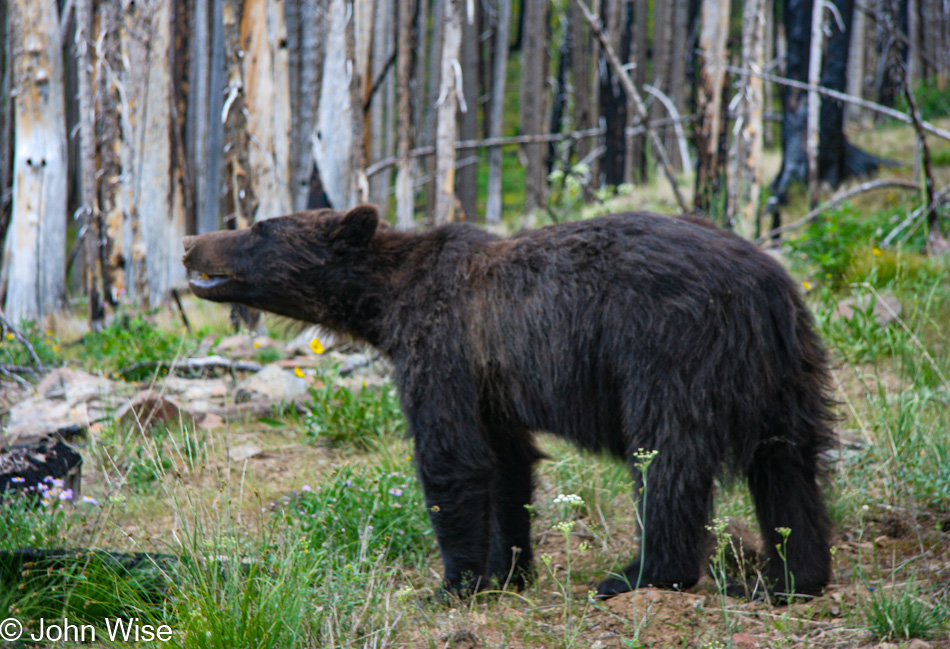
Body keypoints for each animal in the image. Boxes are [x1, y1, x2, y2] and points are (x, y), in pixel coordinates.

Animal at [182, 206, 836, 596]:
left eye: (259, 228)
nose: (190, 241)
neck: (384, 304)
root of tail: (767, 288)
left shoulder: (442, 344)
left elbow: (450, 458)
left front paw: (455, 581)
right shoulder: (490, 385)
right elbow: (506, 464)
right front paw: (508, 568)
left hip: (670, 353)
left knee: (666, 460)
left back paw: (639, 575)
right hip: (788, 373)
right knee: (789, 467)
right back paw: (794, 575)